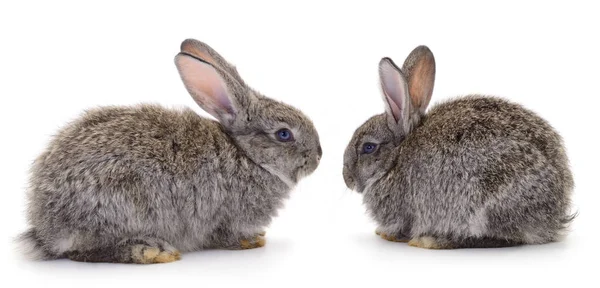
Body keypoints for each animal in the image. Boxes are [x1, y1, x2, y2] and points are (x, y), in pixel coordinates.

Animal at [16, 38, 322, 264]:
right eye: (284, 134)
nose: (318, 156)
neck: (249, 156)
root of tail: (46, 228)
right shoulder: (226, 217)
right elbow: (224, 234)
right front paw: (250, 241)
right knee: (83, 251)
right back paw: (150, 251)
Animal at [342, 46, 572, 249]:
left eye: (368, 147)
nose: (347, 179)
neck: (395, 159)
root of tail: (554, 215)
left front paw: (390, 234)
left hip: (485, 204)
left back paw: (432, 241)